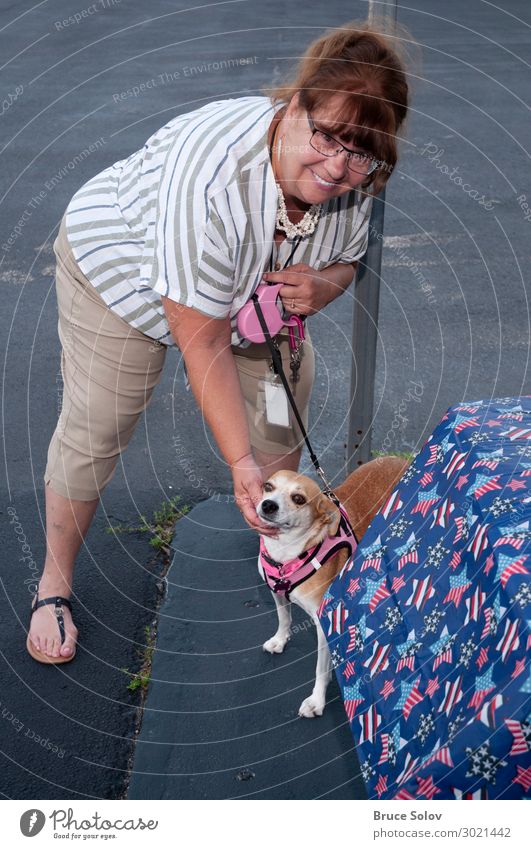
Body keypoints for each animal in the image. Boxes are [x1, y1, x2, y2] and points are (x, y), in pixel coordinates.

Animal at [256, 458, 410, 716]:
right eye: (268, 487)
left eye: (298, 498)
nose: (268, 505)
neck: (288, 554)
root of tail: (403, 459)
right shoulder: (277, 593)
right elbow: (284, 618)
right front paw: (280, 639)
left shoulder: (322, 622)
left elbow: (321, 668)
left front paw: (316, 700)